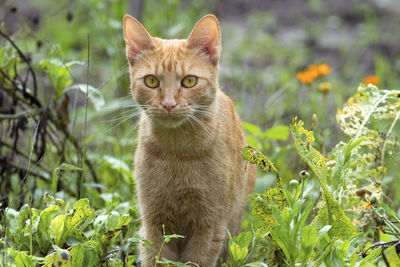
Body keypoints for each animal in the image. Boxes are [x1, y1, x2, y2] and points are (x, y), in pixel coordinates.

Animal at [122, 14, 256, 266]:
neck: (177, 152)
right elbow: (156, 257)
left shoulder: (209, 225)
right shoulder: (154, 221)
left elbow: (197, 260)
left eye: (189, 81)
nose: (168, 104)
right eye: (152, 81)